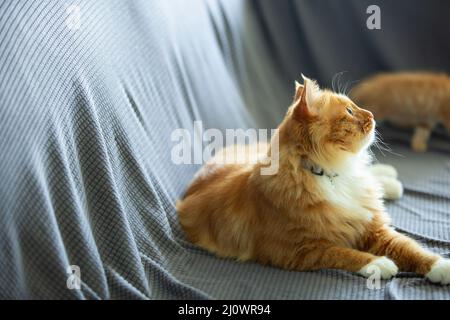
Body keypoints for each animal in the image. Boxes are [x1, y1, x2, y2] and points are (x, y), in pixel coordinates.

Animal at [176, 75, 450, 284]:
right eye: (349, 111)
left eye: (354, 105)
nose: (372, 115)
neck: (331, 175)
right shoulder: (300, 250)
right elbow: (344, 253)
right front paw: (379, 264)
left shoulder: (376, 230)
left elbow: (411, 248)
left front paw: (440, 266)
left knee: (374, 174)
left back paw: (391, 180)